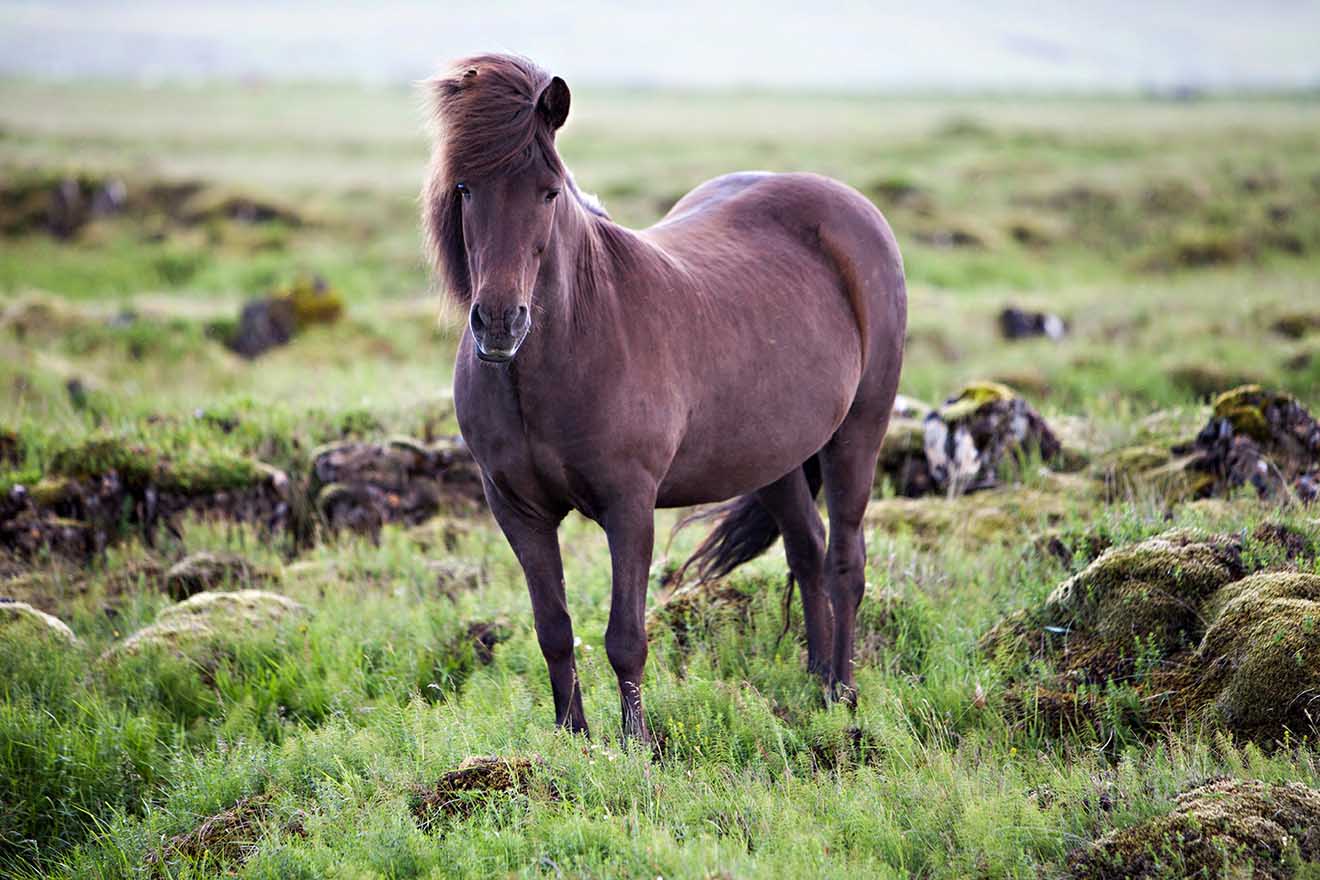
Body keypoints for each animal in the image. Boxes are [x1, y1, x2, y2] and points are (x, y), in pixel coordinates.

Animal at [422, 55, 908, 744]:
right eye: (464, 189)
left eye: (549, 191)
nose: (498, 323)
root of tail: (851, 207)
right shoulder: (517, 509)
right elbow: (554, 631)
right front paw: (573, 740)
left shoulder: (630, 505)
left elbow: (625, 636)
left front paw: (637, 745)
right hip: (777, 455)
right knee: (808, 551)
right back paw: (814, 682)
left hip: (858, 432)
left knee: (845, 560)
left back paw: (841, 693)